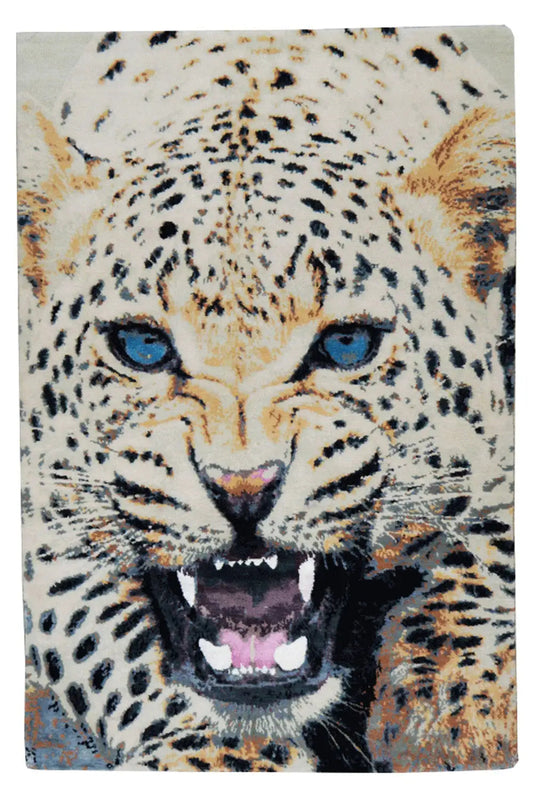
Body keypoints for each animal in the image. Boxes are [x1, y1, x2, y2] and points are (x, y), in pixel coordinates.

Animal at [18, 27, 516, 772]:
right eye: (141, 347)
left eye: (347, 345)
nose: (243, 487)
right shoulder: (42, 525)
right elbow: (111, 642)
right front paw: (220, 757)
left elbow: (490, 550)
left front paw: (464, 708)